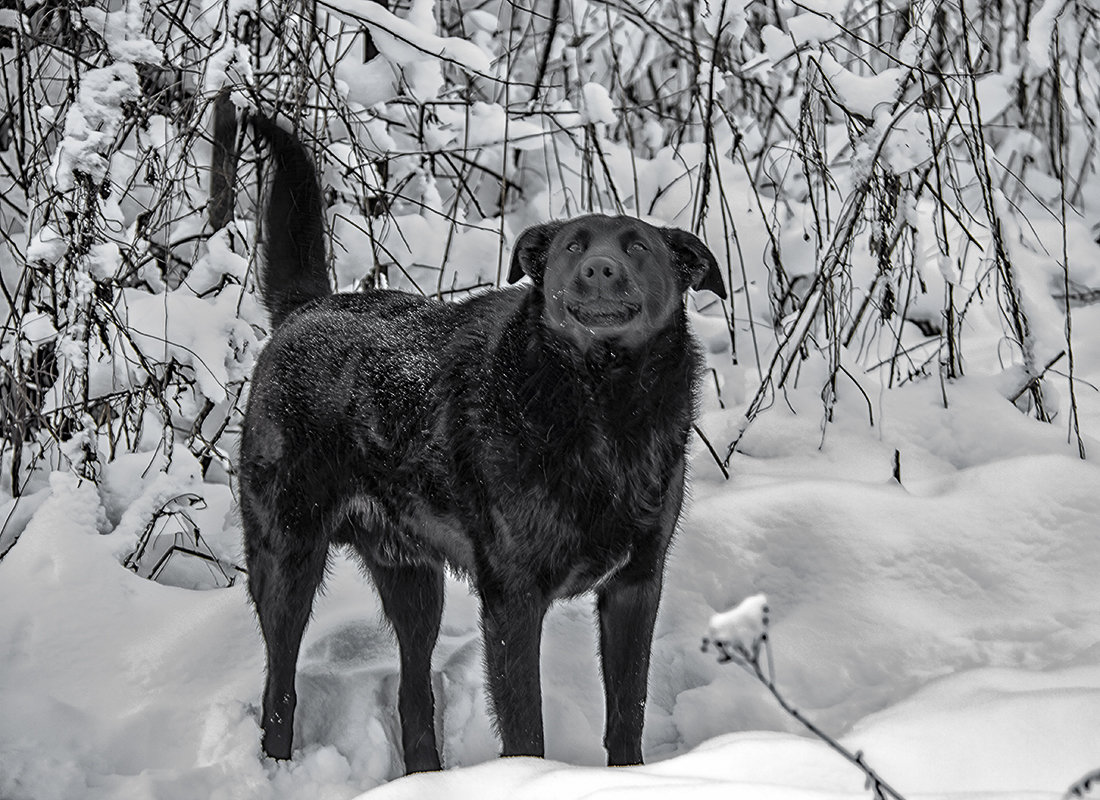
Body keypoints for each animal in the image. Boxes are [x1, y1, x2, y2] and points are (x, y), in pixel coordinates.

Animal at [239, 122, 721, 774]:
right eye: (573, 247)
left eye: (638, 248)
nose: (599, 269)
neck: (601, 404)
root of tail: (307, 307)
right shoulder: (513, 599)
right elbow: (525, 729)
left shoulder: (636, 585)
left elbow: (629, 712)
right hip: (286, 560)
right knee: (279, 687)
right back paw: (278, 767)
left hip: (413, 581)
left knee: (414, 694)